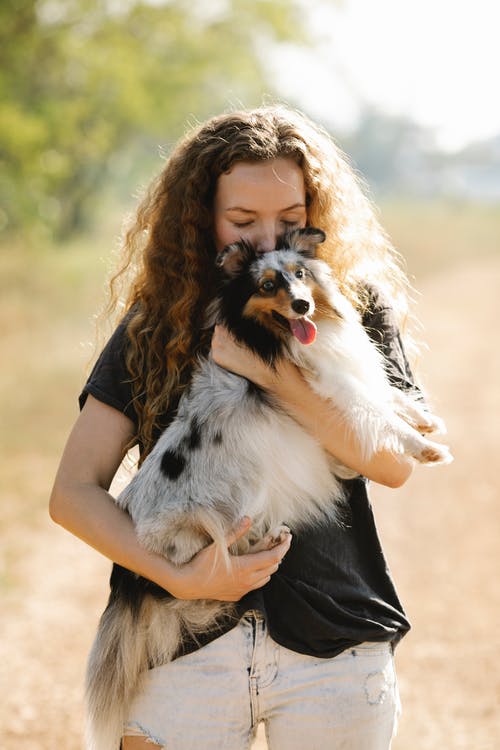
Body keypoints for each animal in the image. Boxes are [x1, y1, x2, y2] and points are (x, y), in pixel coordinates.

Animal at [84, 226, 452, 748]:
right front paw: (424, 448)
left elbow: (387, 396)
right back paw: (266, 541)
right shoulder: (333, 394)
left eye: (300, 274)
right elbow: (377, 414)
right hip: (201, 526)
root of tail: (127, 577)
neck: (272, 339)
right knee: (213, 569)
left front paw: (424, 418)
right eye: (266, 286)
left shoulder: (345, 377)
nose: (302, 305)